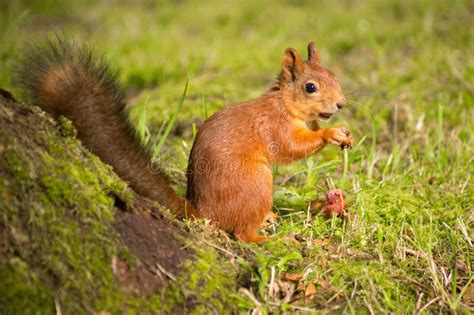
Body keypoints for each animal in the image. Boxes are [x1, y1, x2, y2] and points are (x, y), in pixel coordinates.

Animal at [14, 38, 352, 243]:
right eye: (310, 87)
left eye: (335, 76)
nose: (341, 104)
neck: (285, 103)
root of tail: (203, 213)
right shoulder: (274, 126)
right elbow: (290, 148)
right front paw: (330, 134)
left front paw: (343, 131)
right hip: (255, 182)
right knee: (241, 234)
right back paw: (270, 238)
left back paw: (268, 218)